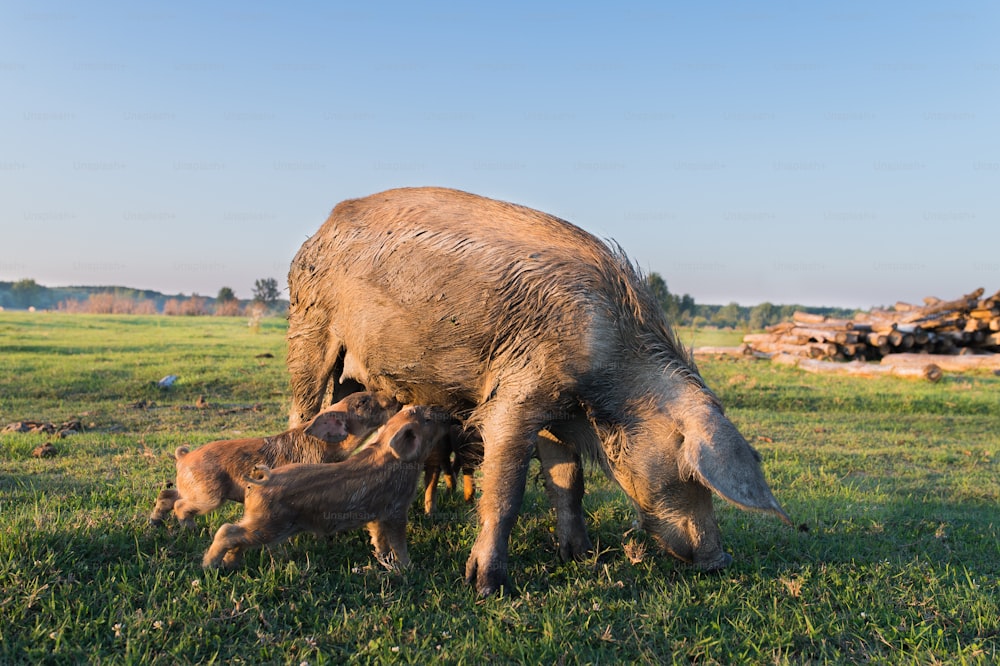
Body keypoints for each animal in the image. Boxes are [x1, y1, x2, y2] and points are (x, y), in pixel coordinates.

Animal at [288, 184, 788, 592]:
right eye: (691, 472)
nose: (718, 560)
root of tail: (320, 229)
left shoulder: (558, 412)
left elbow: (569, 481)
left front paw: (579, 556)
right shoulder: (517, 394)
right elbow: (507, 489)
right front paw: (486, 586)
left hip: (352, 373)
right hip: (308, 330)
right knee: (302, 413)